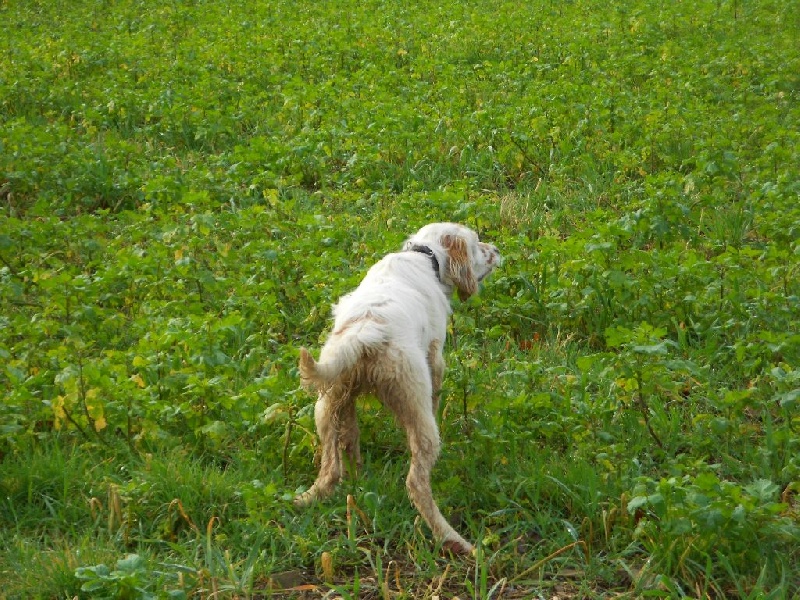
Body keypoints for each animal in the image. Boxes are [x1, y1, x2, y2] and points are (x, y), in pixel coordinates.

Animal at [294, 222, 501, 555]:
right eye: (476, 244)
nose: (496, 249)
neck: (425, 256)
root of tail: (364, 333)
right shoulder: (435, 358)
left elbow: (350, 438)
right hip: (417, 410)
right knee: (416, 483)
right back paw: (455, 541)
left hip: (327, 402)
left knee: (331, 469)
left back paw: (313, 498)